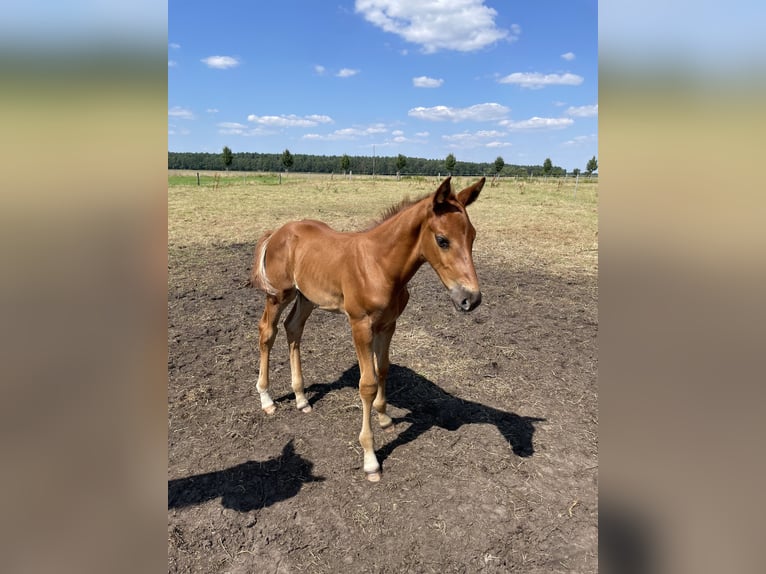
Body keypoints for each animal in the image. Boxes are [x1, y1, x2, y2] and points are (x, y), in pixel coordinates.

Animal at [249, 176, 484, 482]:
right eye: (442, 240)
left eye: (472, 236)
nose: (471, 299)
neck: (379, 265)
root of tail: (277, 231)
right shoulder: (360, 325)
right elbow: (368, 384)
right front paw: (371, 458)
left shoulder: (388, 324)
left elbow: (382, 368)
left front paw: (384, 417)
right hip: (279, 294)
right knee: (267, 331)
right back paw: (266, 399)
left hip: (307, 296)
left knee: (293, 328)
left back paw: (301, 398)